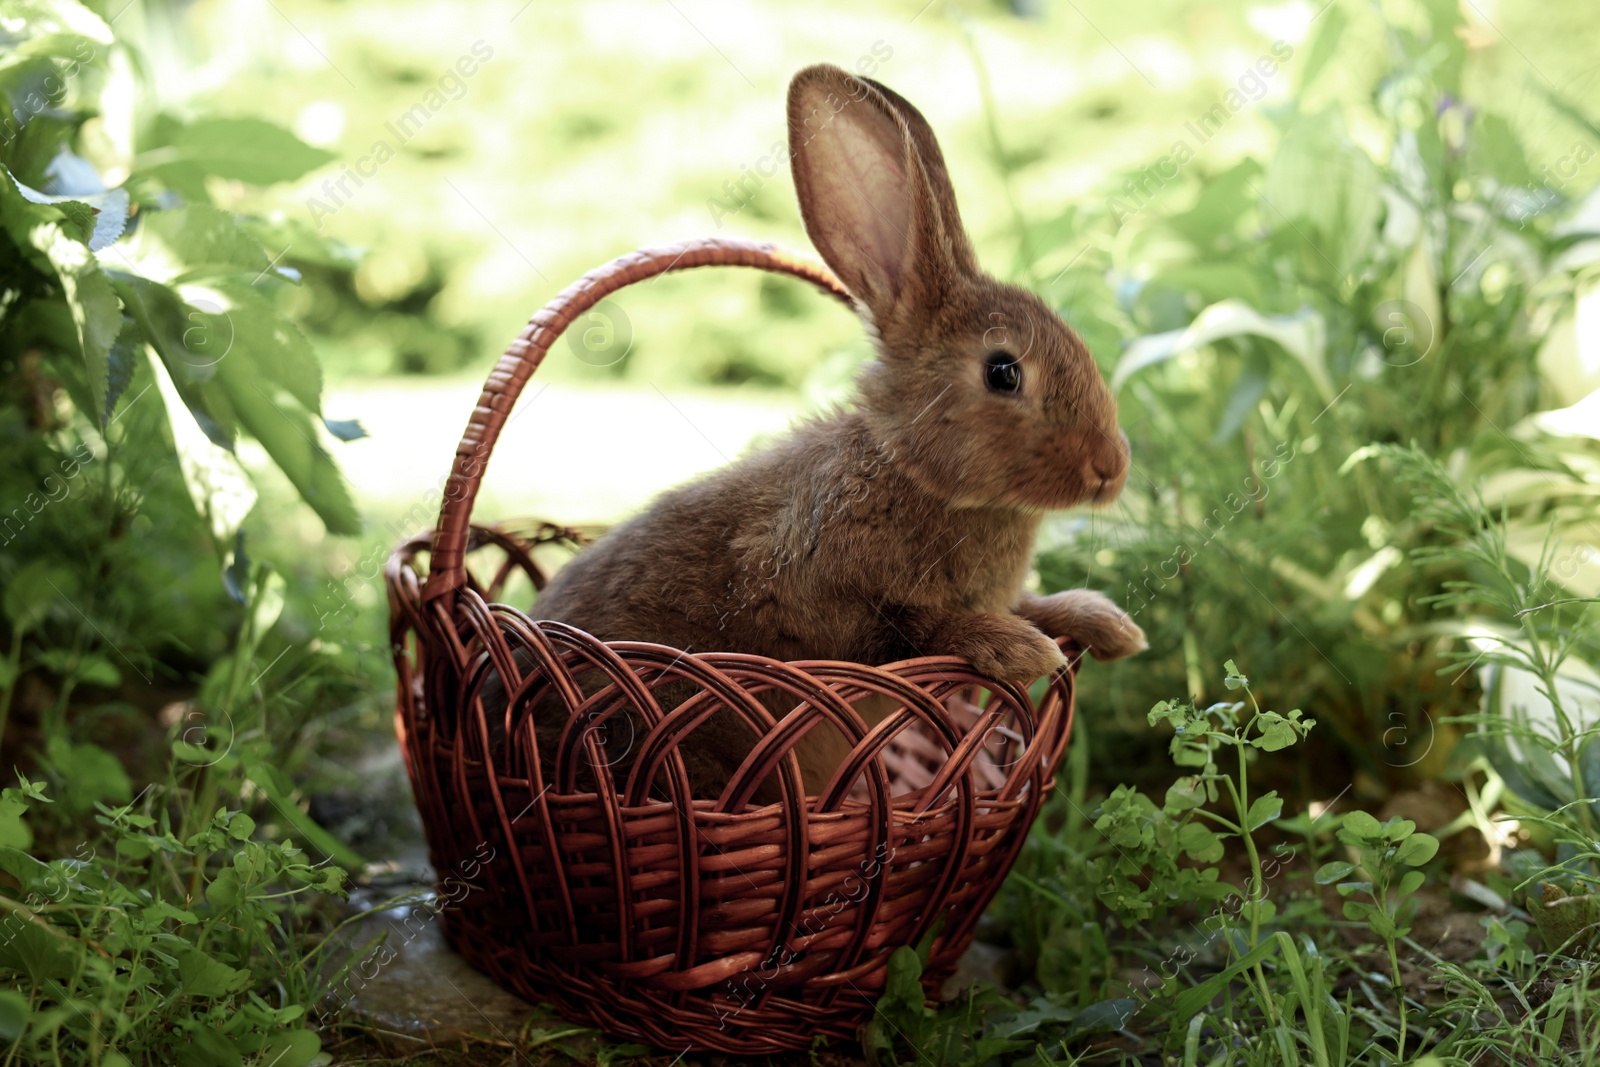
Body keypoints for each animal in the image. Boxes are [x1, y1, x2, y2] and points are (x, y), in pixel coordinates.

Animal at [492, 64, 1145, 799]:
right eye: (1004, 371)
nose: (1111, 468)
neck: (907, 469)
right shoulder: (814, 594)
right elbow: (912, 629)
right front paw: (1019, 648)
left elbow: (1028, 603)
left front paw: (1105, 624)